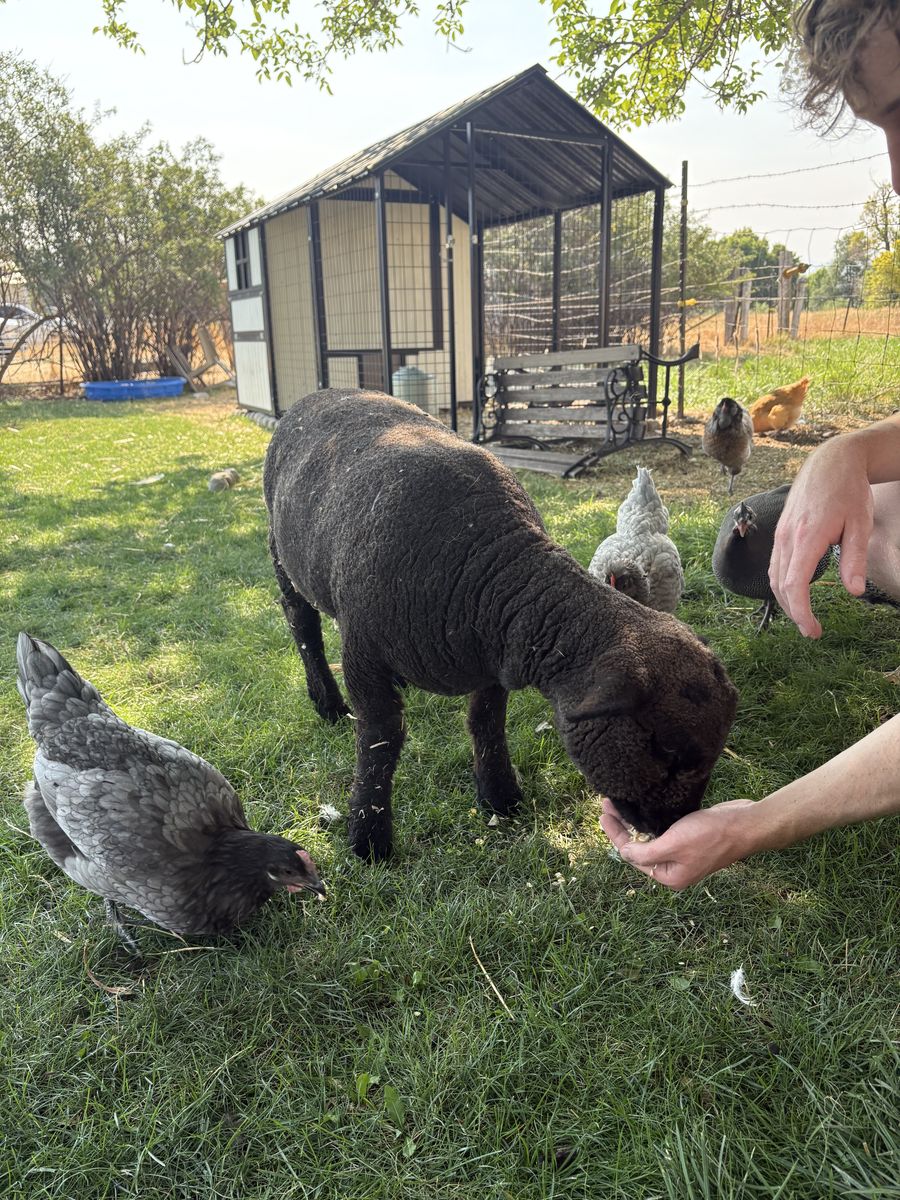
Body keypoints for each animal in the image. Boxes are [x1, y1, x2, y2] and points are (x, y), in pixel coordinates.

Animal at [264, 389, 738, 862]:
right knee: (303, 626)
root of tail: (322, 393)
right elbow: (380, 741)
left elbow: (486, 721)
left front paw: (499, 796)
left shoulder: (495, 657)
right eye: (666, 751)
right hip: (281, 552)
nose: (670, 827)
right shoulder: (365, 655)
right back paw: (327, 702)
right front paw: (368, 837)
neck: (486, 567)